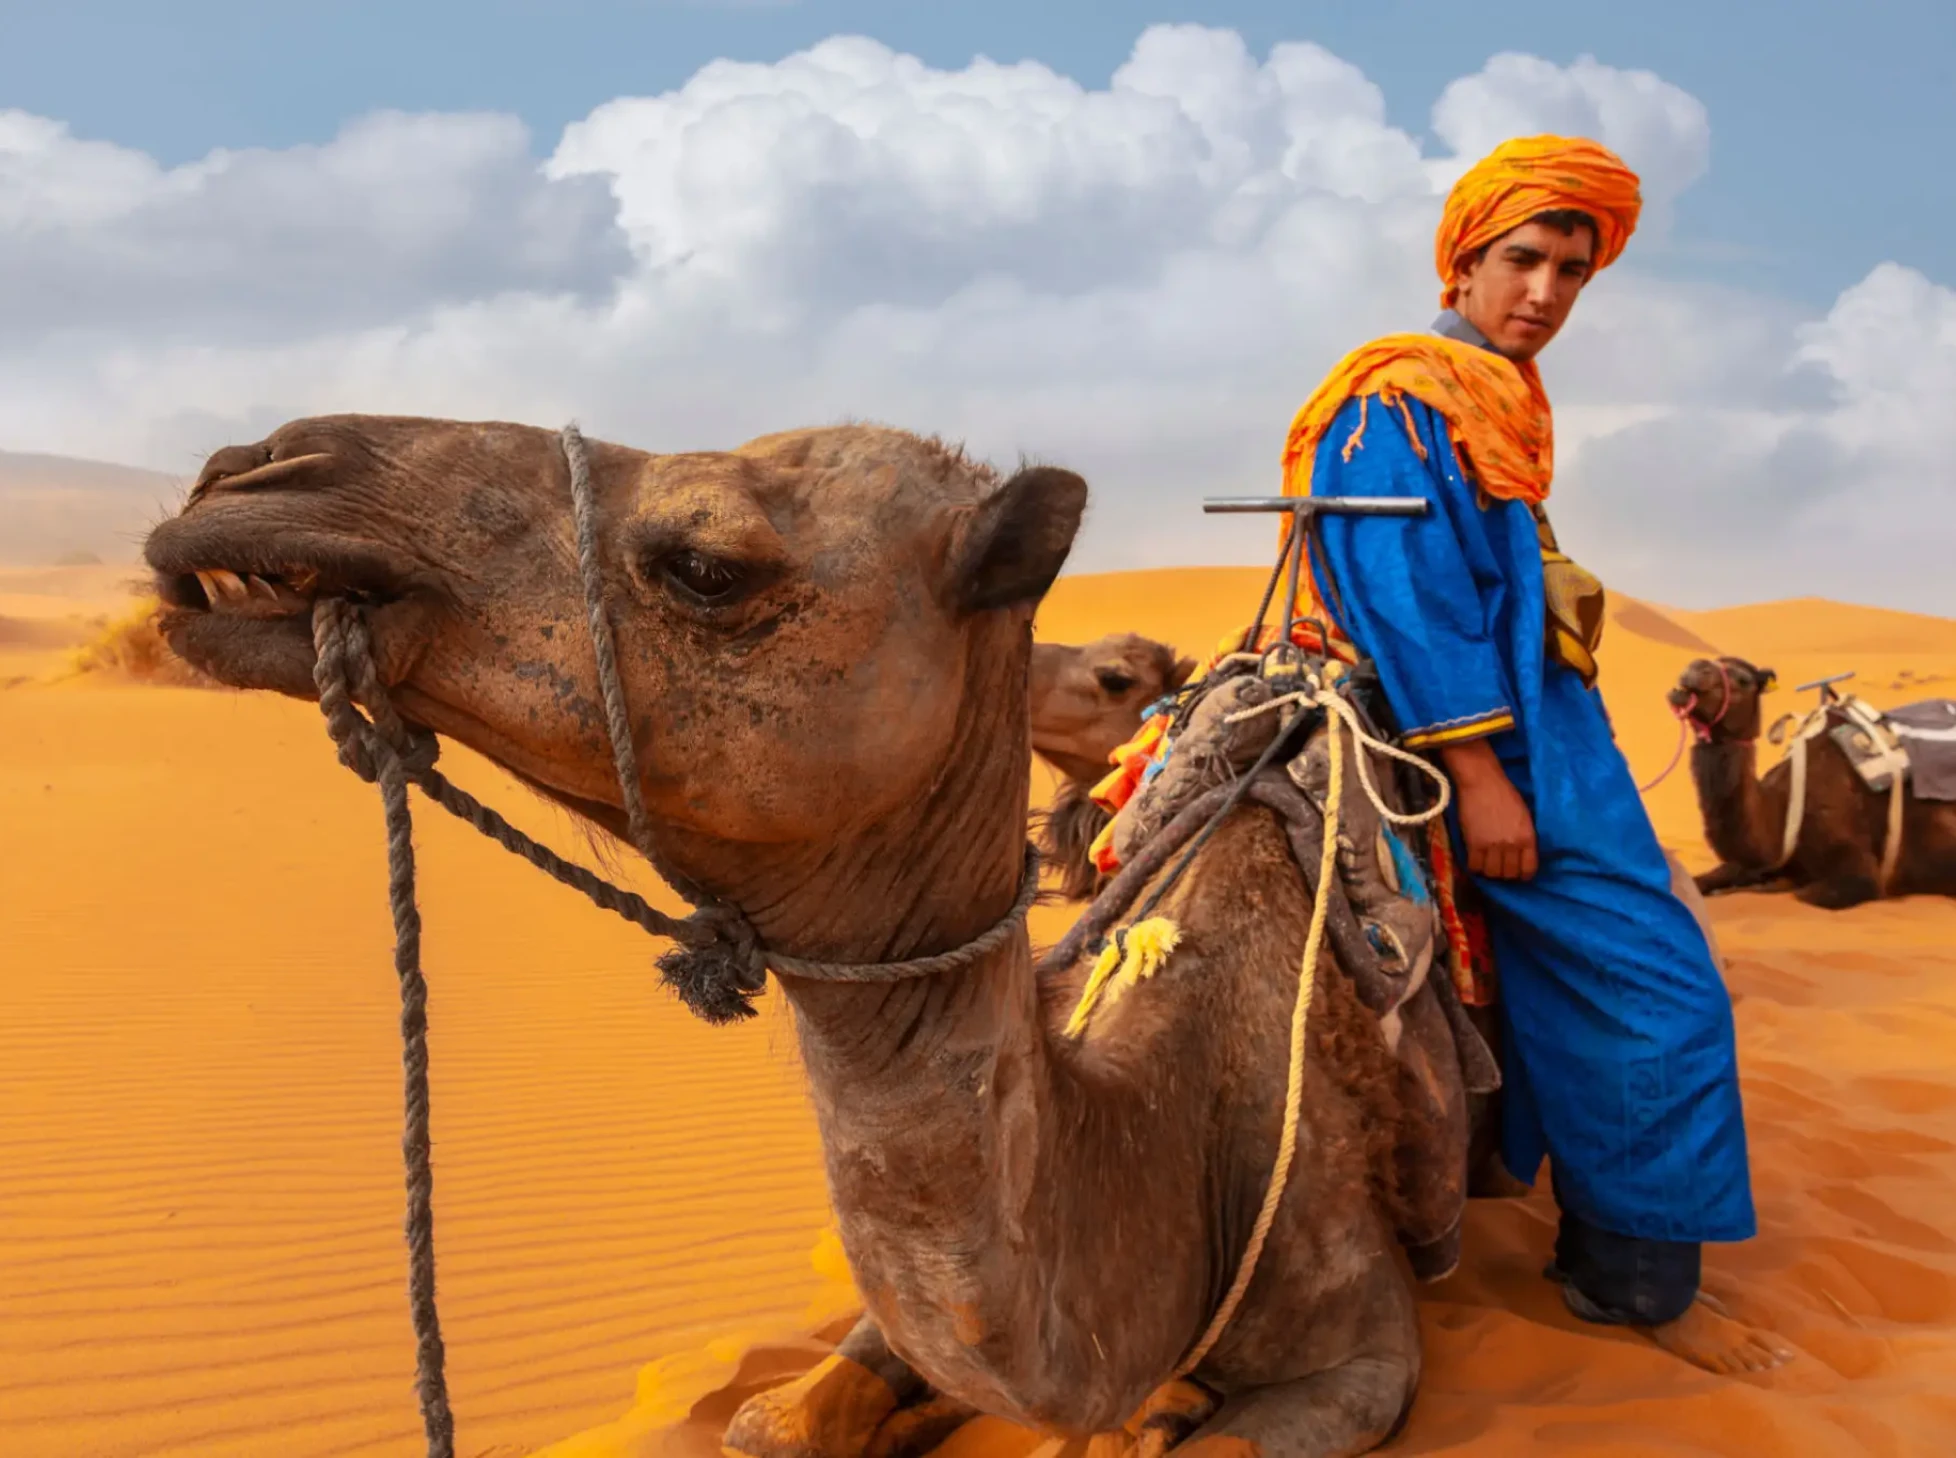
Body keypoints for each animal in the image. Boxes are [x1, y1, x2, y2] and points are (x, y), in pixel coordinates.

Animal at [1673, 656, 1956, 909]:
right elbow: (1700, 880)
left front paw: (1765, 885)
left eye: (1743, 680)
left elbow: (1801, 894)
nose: (1694, 669)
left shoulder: (1858, 871)